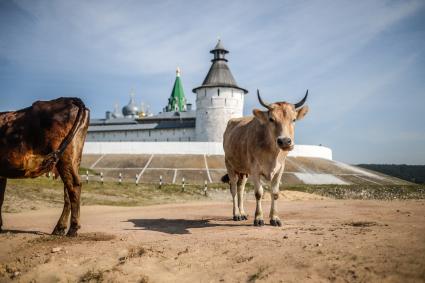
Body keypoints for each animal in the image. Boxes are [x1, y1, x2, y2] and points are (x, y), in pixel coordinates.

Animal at [0, 98, 89, 237]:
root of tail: (70, 99)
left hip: (65, 157)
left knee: (73, 185)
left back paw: (73, 228)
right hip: (74, 158)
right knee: (68, 191)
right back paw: (60, 228)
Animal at [222, 90, 308, 227]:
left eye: (294, 119)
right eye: (271, 119)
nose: (284, 141)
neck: (273, 153)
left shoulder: (280, 169)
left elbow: (275, 193)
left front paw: (275, 218)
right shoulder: (255, 169)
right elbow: (258, 193)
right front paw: (258, 218)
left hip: (244, 171)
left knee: (241, 189)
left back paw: (242, 213)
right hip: (230, 165)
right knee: (234, 189)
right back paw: (236, 214)